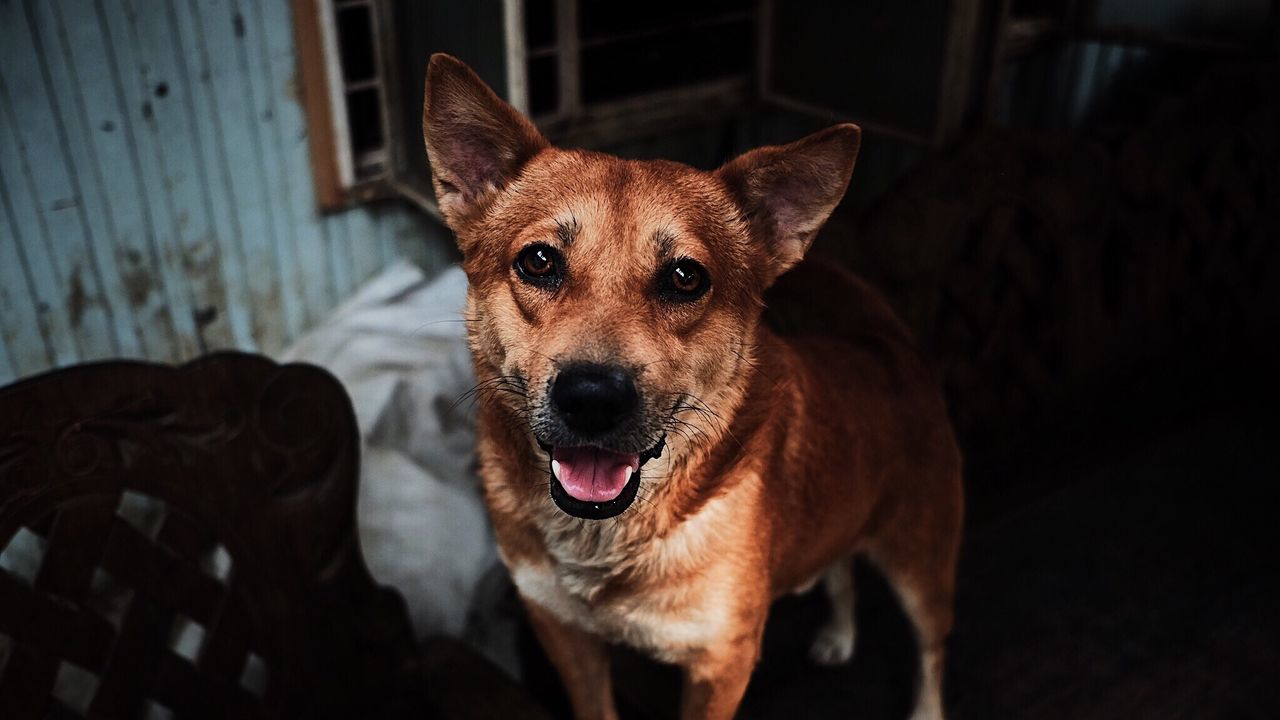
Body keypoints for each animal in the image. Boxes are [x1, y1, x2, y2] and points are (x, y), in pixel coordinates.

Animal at [424, 53, 962, 712]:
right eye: (539, 261)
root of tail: (889, 344)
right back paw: (839, 633)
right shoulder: (561, 631)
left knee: (932, 648)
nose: (592, 400)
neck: (605, 539)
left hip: (922, 565)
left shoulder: (720, 661)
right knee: (842, 570)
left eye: (685, 277)